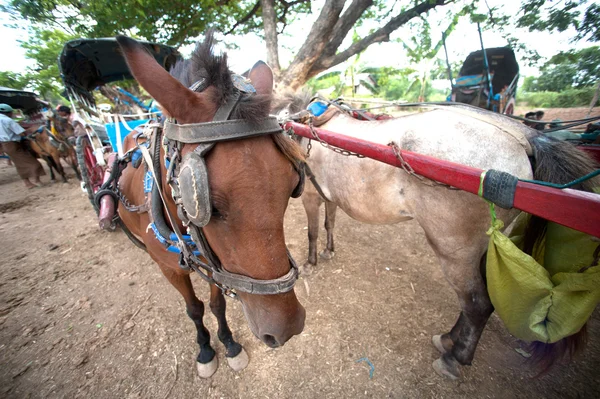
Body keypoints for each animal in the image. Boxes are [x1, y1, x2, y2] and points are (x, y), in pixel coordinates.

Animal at [112, 33, 304, 378]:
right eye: (207, 206)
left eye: (291, 186)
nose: (287, 327)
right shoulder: (170, 269)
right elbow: (194, 308)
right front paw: (204, 348)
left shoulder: (217, 263)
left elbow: (217, 304)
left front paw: (229, 343)